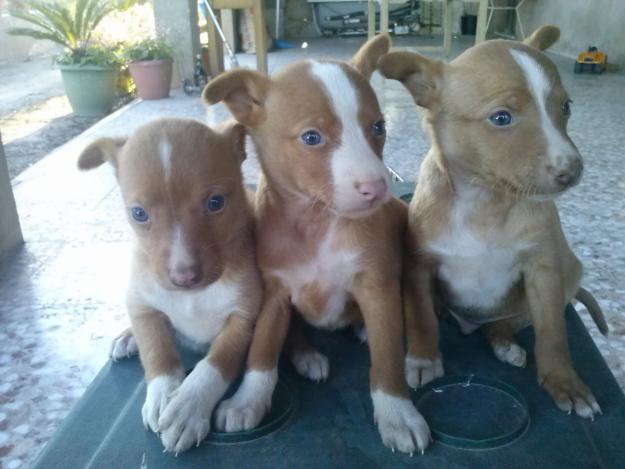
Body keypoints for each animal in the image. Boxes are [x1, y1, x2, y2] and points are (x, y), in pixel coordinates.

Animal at [76, 118, 260, 454]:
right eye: (138, 213)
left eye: (216, 203)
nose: (184, 277)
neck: (192, 296)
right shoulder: (143, 307)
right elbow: (157, 351)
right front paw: (162, 394)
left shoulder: (243, 319)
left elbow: (216, 363)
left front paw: (188, 407)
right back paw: (127, 337)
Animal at [202, 34, 432, 456]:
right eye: (312, 137)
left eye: (378, 127)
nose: (377, 188)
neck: (317, 222)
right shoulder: (274, 293)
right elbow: (262, 349)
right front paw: (247, 400)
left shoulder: (376, 287)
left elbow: (388, 355)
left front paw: (397, 413)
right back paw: (306, 355)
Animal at [378, 25, 608, 418]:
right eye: (501, 118)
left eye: (566, 107)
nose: (572, 170)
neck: (484, 203)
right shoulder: (420, 265)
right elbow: (421, 317)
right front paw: (423, 360)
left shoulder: (543, 271)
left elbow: (554, 334)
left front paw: (564, 381)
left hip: (562, 277)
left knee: (506, 323)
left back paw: (504, 343)